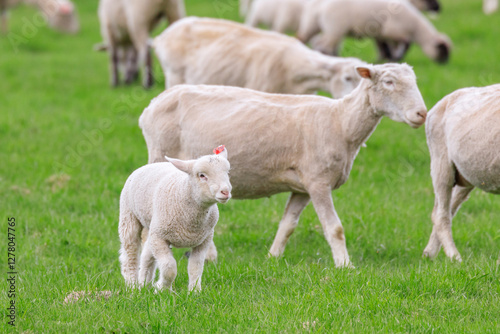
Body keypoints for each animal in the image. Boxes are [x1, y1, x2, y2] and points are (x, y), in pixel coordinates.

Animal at [119, 146, 232, 290]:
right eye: (202, 175)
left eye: (227, 172)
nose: (225, 192)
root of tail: (151, 165)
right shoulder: (160, 239)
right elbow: (169, 268)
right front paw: (162, 288)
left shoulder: (204, 241)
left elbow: (195, 268)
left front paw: (194, 291)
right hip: (129, 217)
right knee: (130, 254)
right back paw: (132, 286)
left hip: (153, 229)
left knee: (146, 256)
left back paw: (144, 283)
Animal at [139, 62, 428, 268]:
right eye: (389, 82)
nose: (421, 114)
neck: (341, 122)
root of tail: (151, 105)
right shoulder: (319, 181)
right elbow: (334, 228)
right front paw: (345, 266)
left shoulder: (303, 187)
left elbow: (287, 225)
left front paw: (273, 257)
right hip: (161, 154)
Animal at [298, 0, 452, 62]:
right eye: (443, 50)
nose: (444, 64)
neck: (415, 26)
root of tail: (319, 7)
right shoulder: (392, 31)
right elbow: (405, 44)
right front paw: (395, 58)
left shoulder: (381, 34)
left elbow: (384, 47)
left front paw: (386, 59)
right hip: (335, 28)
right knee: (324, 46)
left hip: (312, 24)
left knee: (303, 39)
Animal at [422, 85, 500, 262]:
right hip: (440, 162)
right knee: (440, 215)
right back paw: (454, 257)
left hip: (465, 176)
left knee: (447, 210)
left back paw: (429, 254)